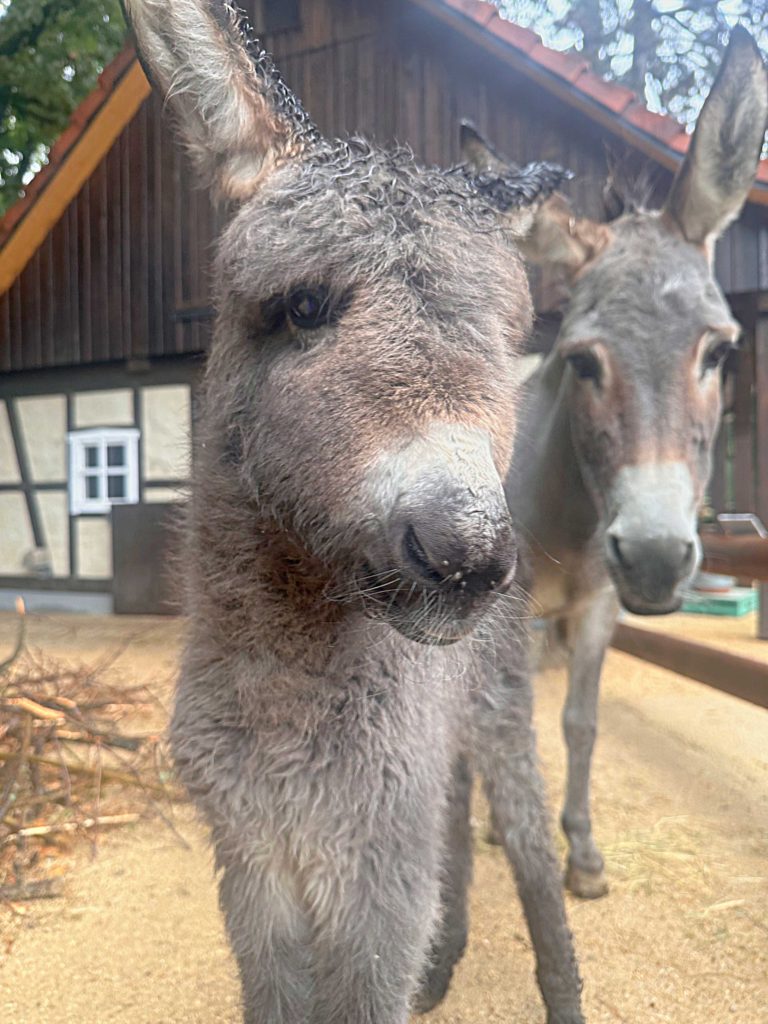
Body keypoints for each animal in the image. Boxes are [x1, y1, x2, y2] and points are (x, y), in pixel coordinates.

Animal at [124, 2, 581, 1024]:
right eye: (302, 306)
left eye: (509, 343)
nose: (467, 556)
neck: (283, 707)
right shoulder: (252, 860)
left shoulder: (372, 877)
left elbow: (373, 985)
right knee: (454, 818)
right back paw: (444, 967)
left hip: (497, 712)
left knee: (527, 846)